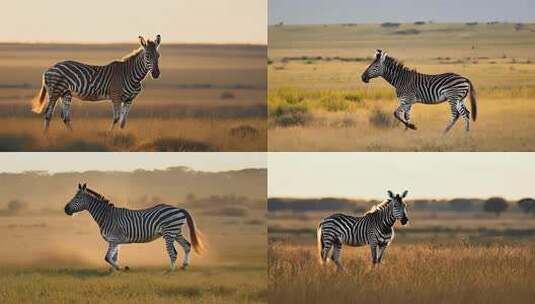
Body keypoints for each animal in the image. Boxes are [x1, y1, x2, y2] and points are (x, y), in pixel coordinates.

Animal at [30, 34, 161, 132]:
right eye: (147, 56)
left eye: (158, 56)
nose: (156, 74)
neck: (131, 75)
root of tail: (50, 68)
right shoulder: (116, 97)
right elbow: (116, 118)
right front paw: (111, 135)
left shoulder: (130, 99)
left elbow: (123, 122)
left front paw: (121, 136)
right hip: (55, 92)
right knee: (48, 114)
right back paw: (46, 136)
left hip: (65, 93)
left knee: (65, 117)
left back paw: (72, 134)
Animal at [65, 183, 203, 270]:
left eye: (77, 198)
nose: (65, 209)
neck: (107, 216)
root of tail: (179, 208)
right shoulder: (114, 240)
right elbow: (113, 257)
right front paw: (112, 271)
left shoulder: (114, 239)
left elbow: (107, 257)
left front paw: (121, 268)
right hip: (176, 232)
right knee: (187, 246)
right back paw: (184, 266)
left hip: (169, 233)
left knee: (173, 253)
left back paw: (169, 271)